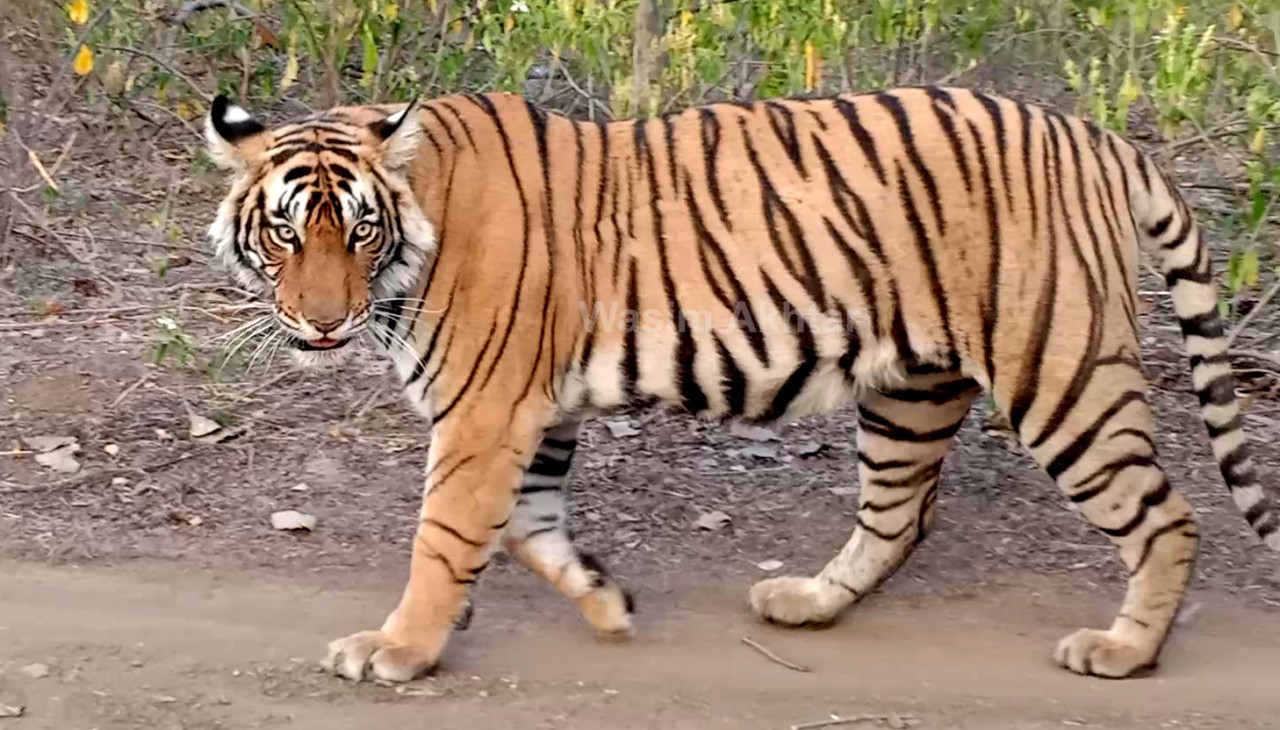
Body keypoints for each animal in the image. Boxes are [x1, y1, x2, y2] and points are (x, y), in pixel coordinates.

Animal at [202, 84, 1279, 684]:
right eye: (286, 231)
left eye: (359, 230)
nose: (322, 321)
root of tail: (1100, 136)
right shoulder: (533, 412)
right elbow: (524, 527)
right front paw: (605, 601)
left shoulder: (485, 410)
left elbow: (445, 538)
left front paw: (398, 649)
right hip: (913, 387)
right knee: (900, 515)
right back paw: (806, 602)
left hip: (1058, 374)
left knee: (1167, 515)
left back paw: (1124, 652)